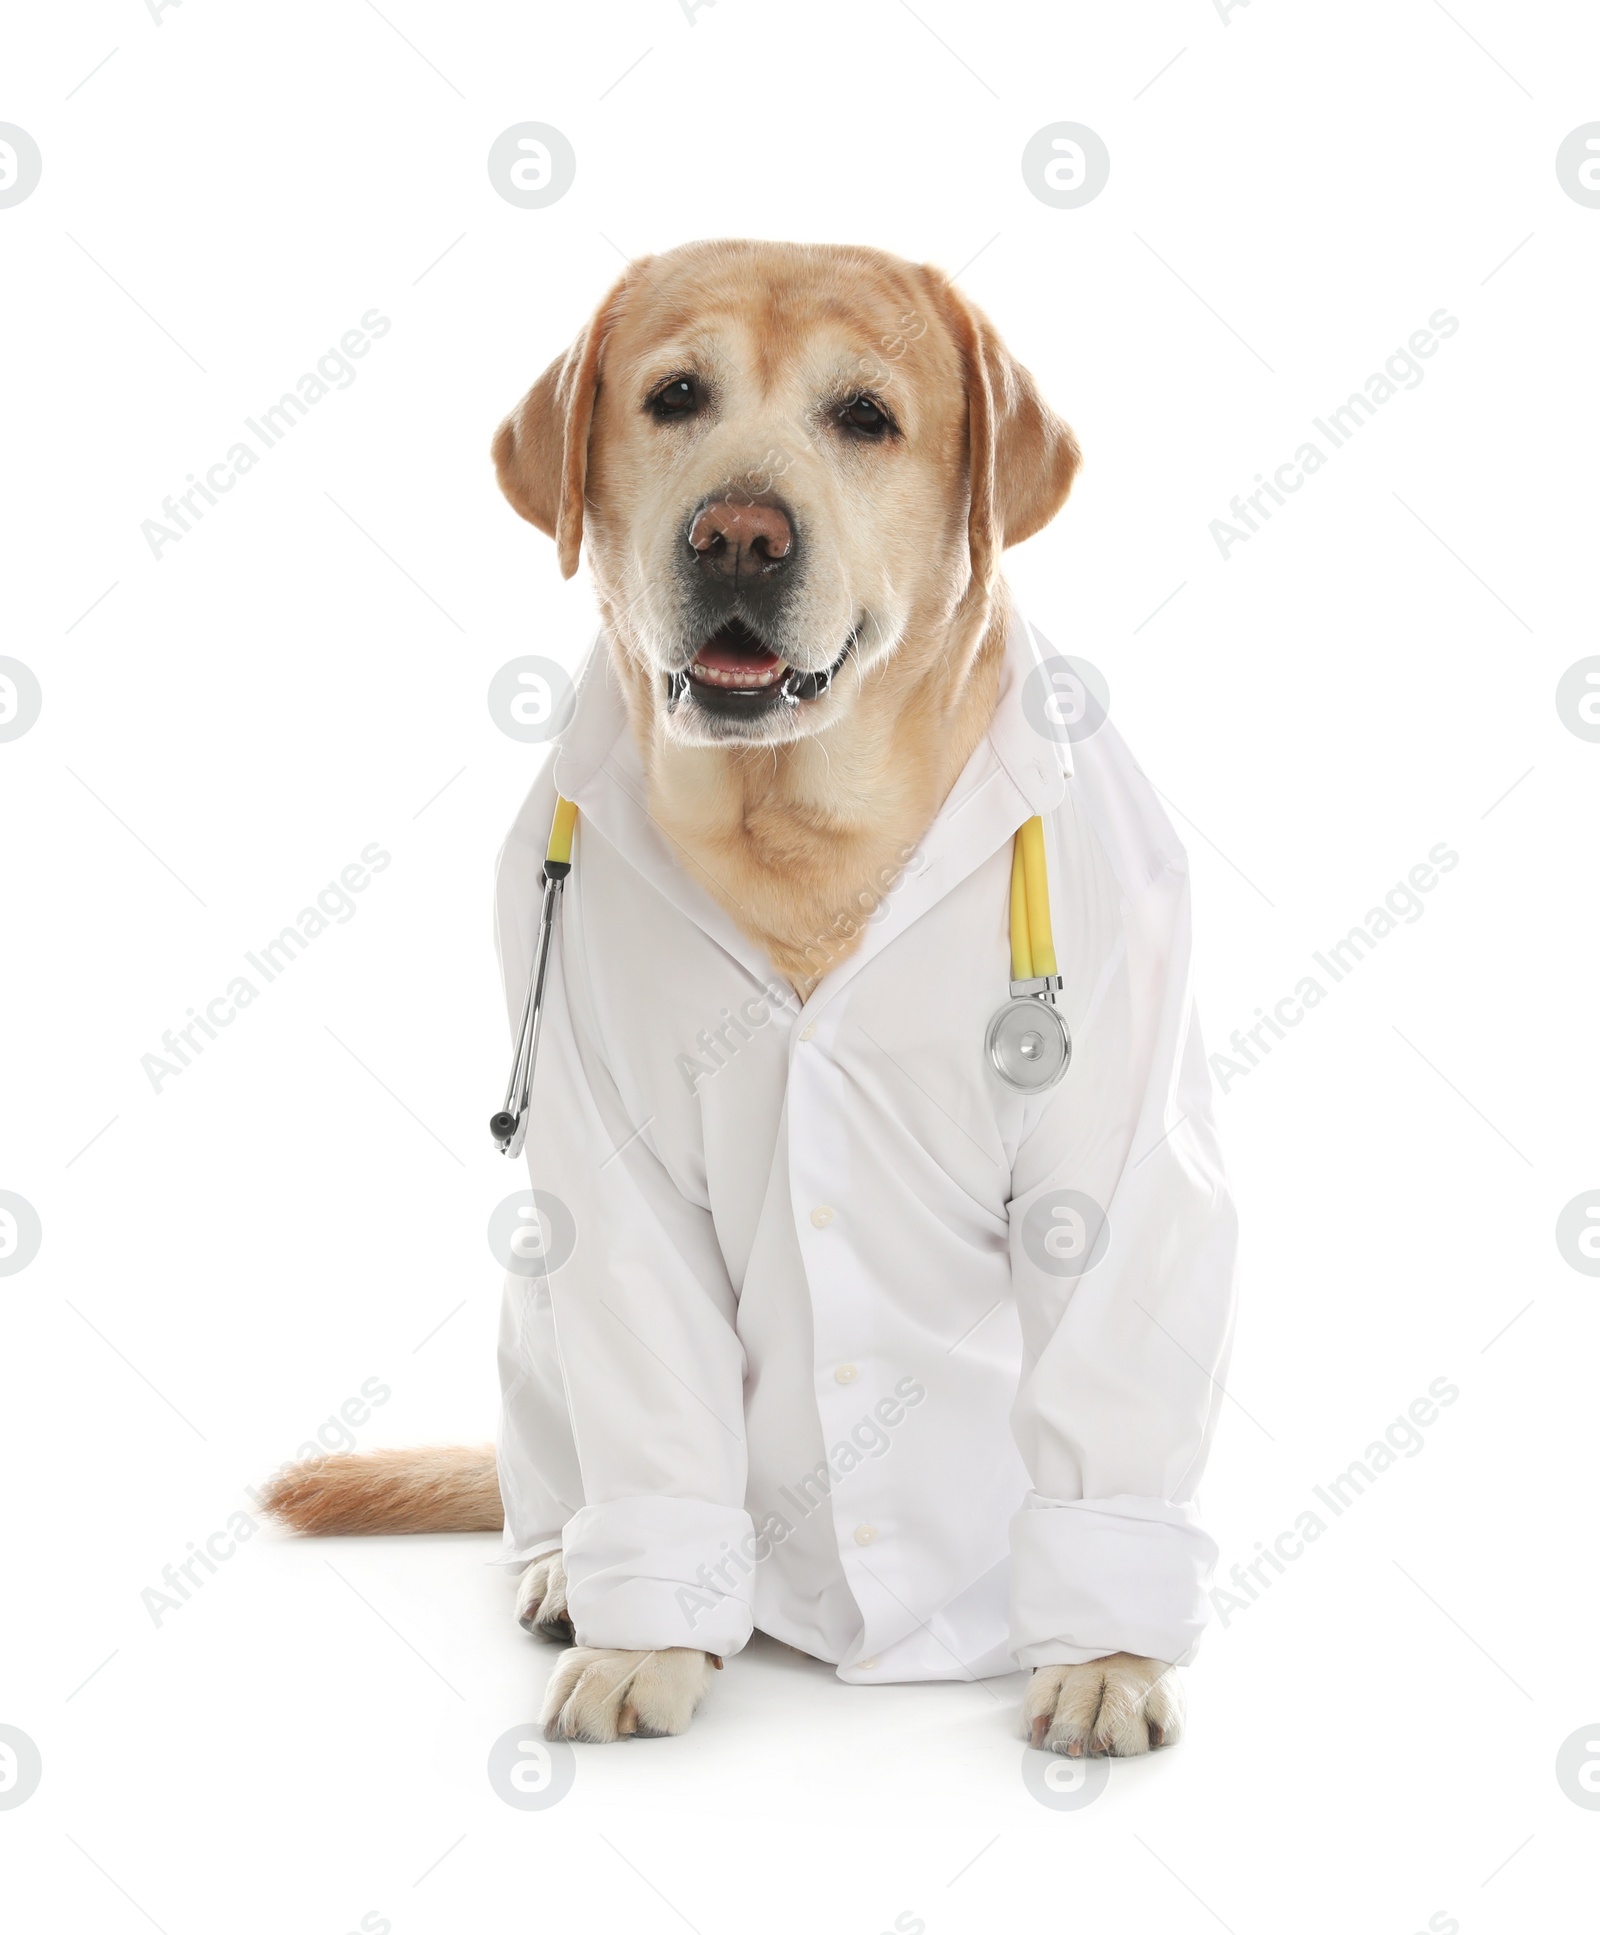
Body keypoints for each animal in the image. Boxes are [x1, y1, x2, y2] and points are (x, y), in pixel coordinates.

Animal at [265, 238, 1238, 1756]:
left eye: (866, 417)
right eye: (675, 395)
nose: (736, 537)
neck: (792, 823)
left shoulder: (1119, 1145)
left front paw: (1111, 1660)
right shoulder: (607, 1169)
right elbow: (654, 1408)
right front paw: (646, 1644)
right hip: (533, 1288)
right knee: (553, 1476)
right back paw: (567, 1568)